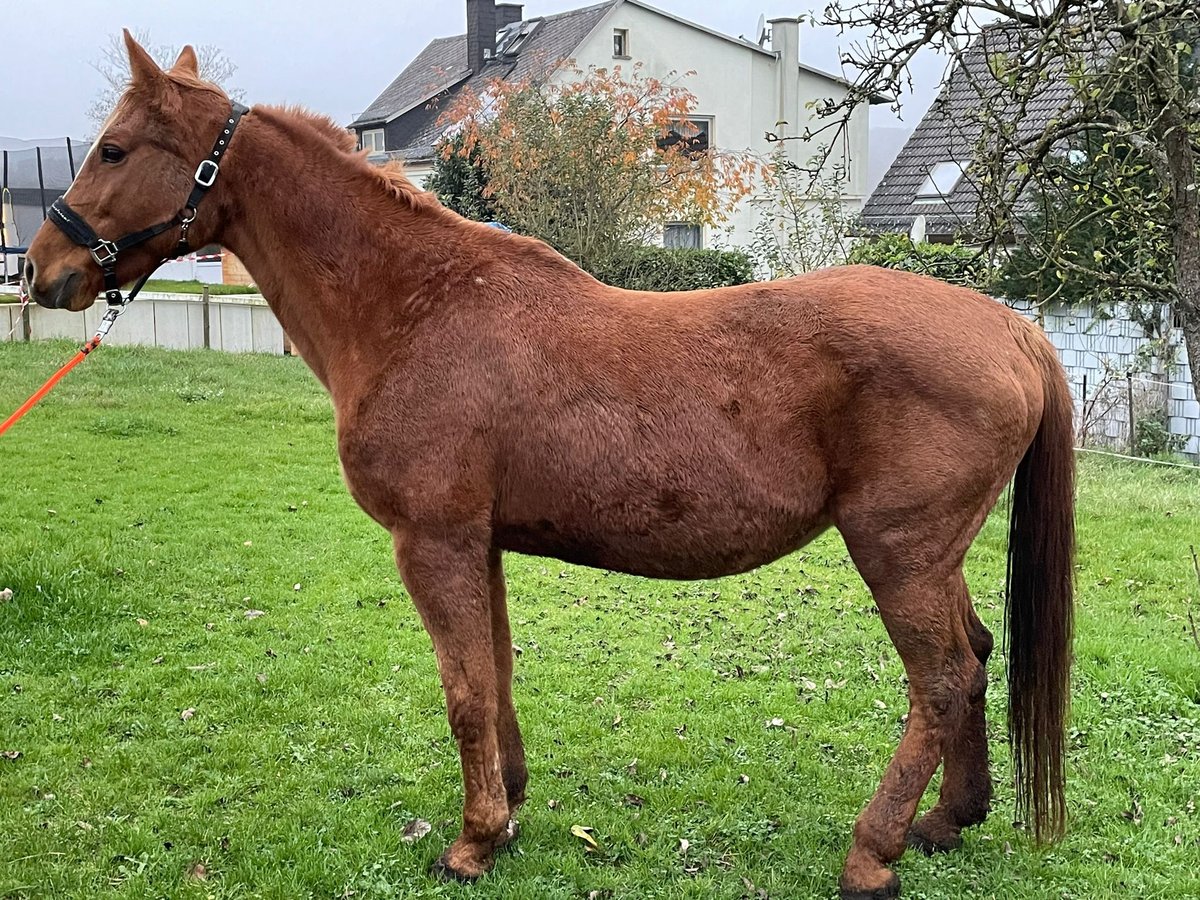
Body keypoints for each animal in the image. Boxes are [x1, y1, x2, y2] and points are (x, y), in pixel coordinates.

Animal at [23, 35, 1075, 900]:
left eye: (114, 149)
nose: (41, 271)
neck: (417, 307)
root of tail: (1012, 328)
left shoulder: (432, 542)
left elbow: (462, 692)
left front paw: (472, 840)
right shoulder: (478, 542)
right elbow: (493, 673)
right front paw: (511, 807)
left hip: (898, 553)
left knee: (941, 679)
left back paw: (873, 854)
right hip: (935, 556)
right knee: (976, 657)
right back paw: (947, 822)